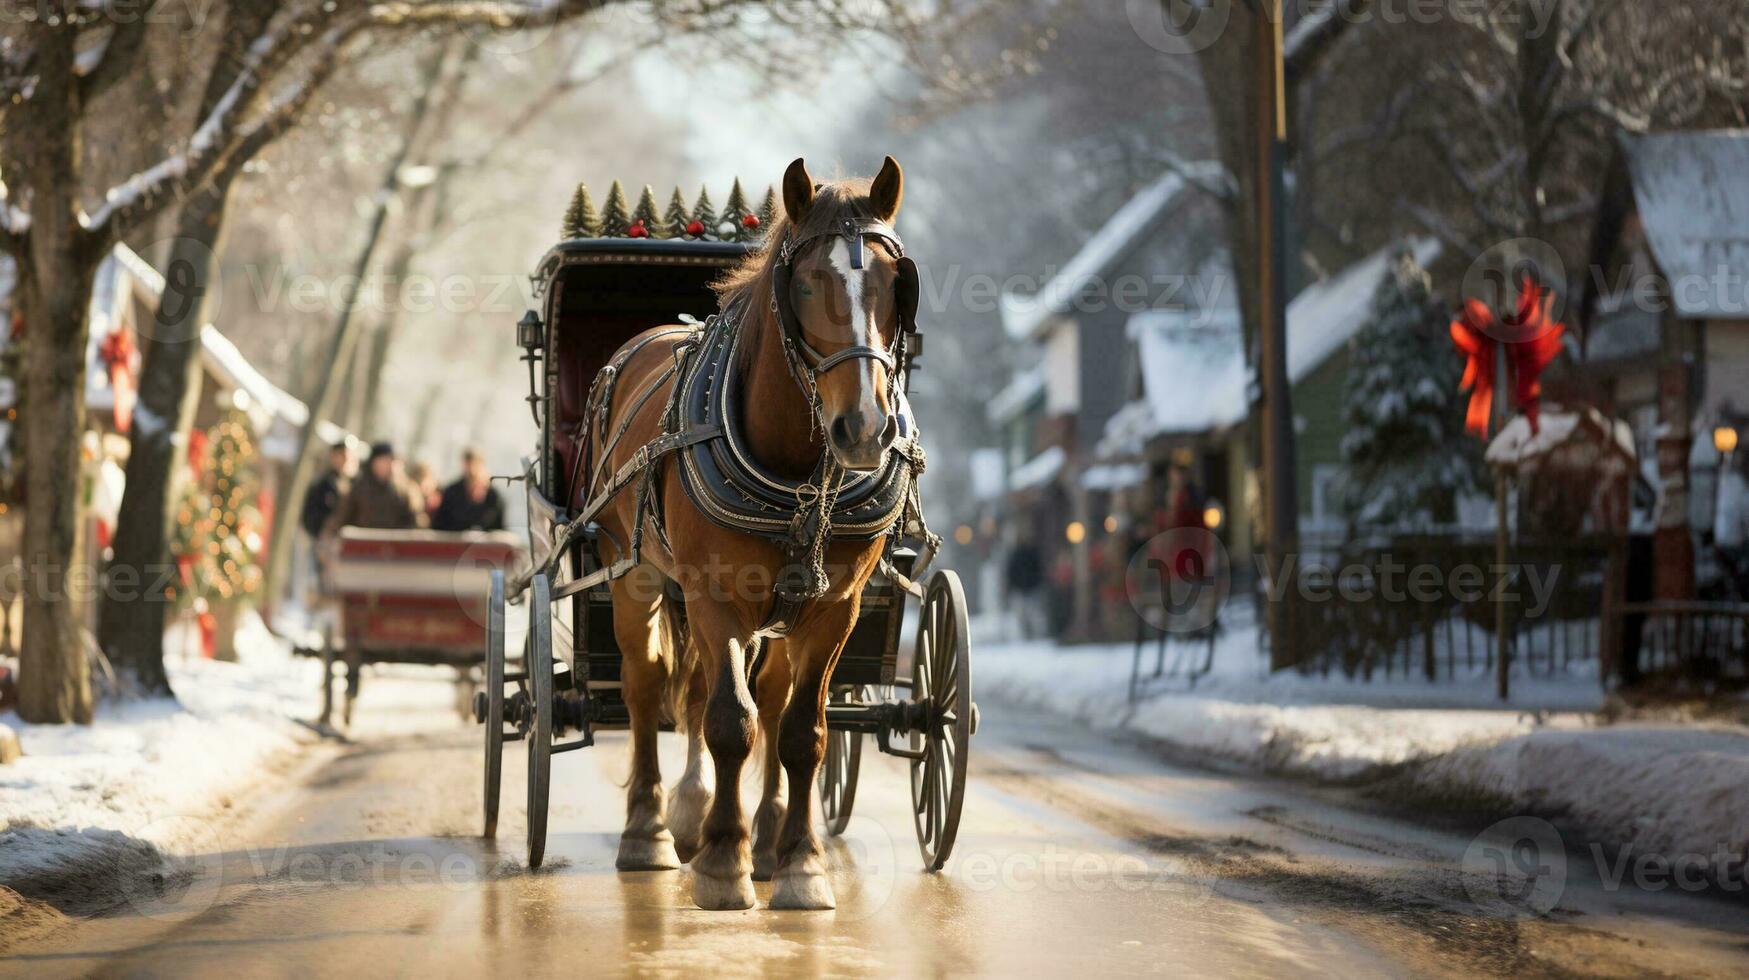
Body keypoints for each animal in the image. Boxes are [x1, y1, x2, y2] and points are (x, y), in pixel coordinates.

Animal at [591, 154, 916, 910]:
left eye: (896, 283)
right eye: (806, 282)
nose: (864, 429)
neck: (799, 480)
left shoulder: (834, 608)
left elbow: (799, 731)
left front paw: (799, 864)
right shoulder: (714, 597)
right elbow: (727, 722)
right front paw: (719, 862)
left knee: (756, 698)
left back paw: (759, 835)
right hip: (634, 574)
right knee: (648, 686)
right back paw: (653, 829)